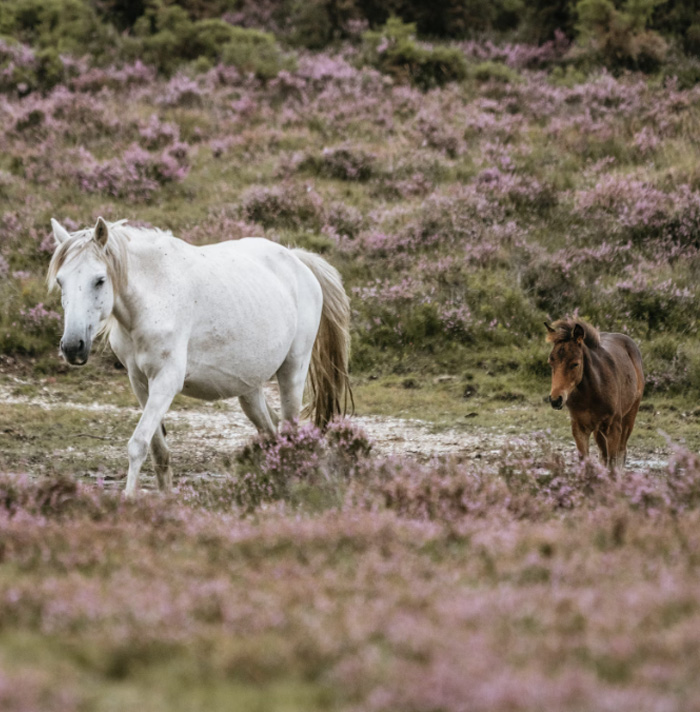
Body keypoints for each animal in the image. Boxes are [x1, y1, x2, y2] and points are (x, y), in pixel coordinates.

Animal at [47, 217, 353, 497]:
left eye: (99, 280)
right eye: (61, 281)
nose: (72, 347)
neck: (154, 295)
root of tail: (298, 261)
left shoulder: (167, 381)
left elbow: (138, 445)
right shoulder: (140, 382)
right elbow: (158, 451)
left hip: (292, 371)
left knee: (289, 433)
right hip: (250, 390)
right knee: (271, 433)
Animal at [545, 318, 644, 469]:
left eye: (575, 364)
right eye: (551, 362)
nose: (556, 400)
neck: (591, 394)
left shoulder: (614, 429)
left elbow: (613, 464)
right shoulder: (579, 429)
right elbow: (586, 462)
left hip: (629, 416)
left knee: (621, 453)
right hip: (598, 430)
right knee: (603, 455)